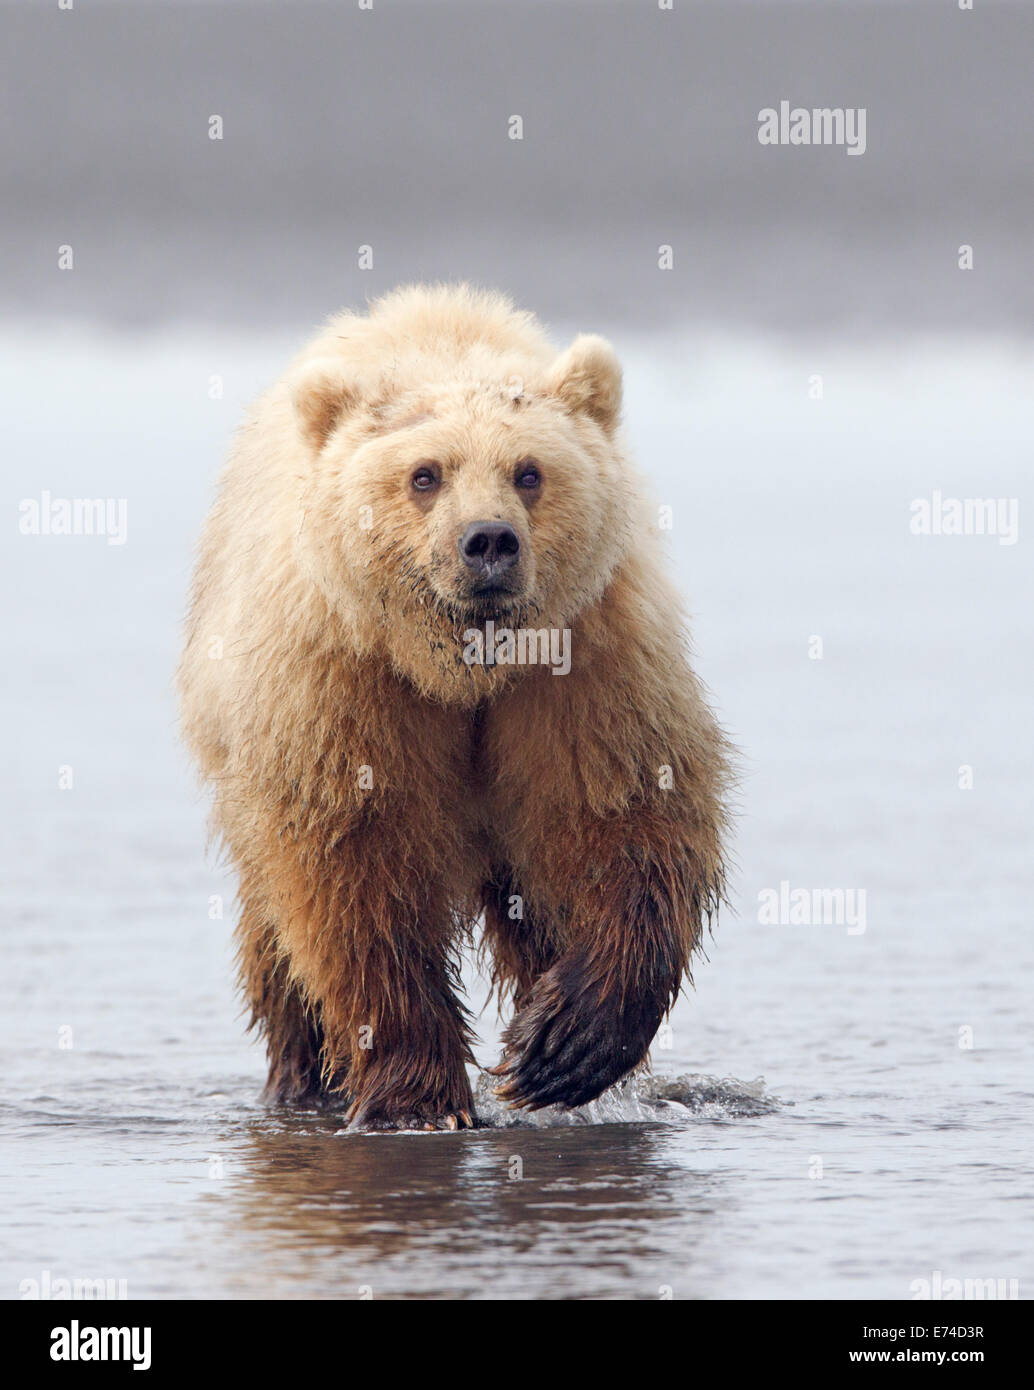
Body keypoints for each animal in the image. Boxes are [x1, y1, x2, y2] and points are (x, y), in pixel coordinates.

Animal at [177, 282, 733, 1128]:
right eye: (425, 474)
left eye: (529, 472)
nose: (489, 542)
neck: (461, 672)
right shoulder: (344, 678)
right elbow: (356, 869)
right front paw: (419, 1099)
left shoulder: (585, 662)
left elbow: (626, 815)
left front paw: (564, 1045)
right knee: (276, 935)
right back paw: (301, 1081)